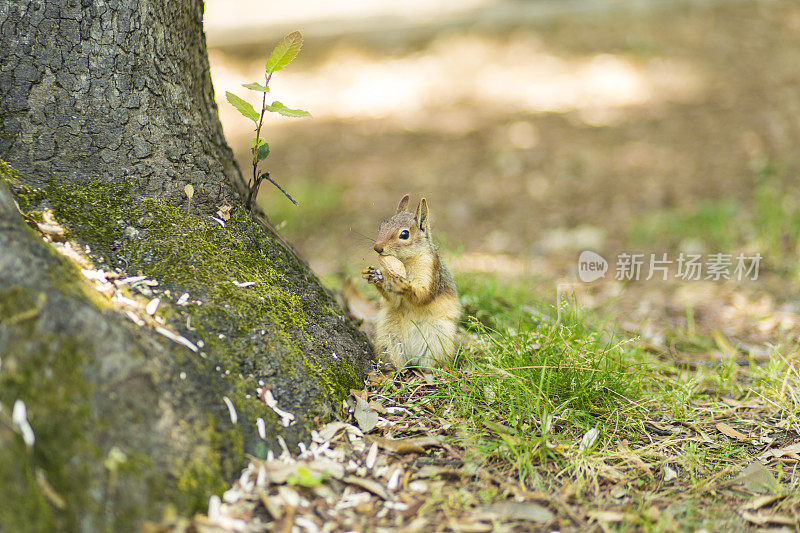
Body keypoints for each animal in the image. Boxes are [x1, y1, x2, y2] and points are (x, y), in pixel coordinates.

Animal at [362, 193, 462, 368]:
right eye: (382, 226)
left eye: (404, 234)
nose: (377, 248)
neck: (406, 262)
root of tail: (413, 358)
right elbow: (394, 300)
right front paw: (375, 276)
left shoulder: (431, 269)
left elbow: (424, 295)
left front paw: (404, 286)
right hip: (387, 337)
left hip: (439, 337)